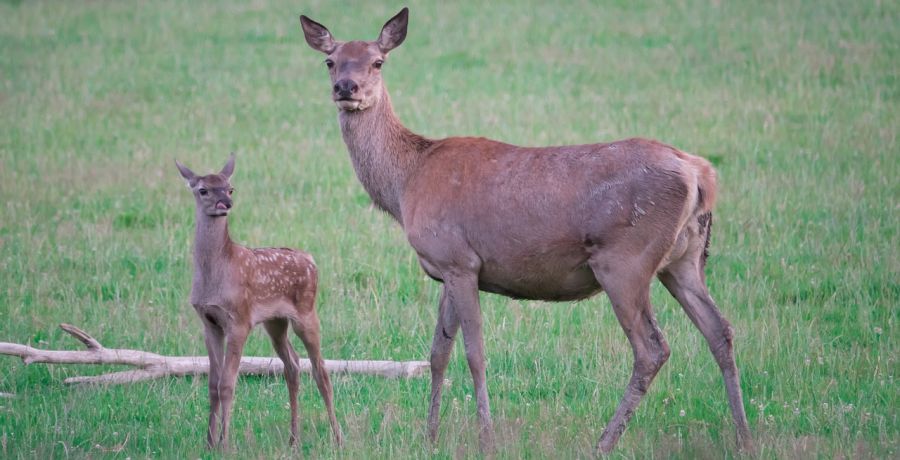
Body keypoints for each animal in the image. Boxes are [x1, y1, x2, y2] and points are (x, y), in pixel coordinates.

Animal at [177, 155, 344, 450]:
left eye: (230, 189)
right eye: (203, 190)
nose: (225, 204)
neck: (216, 274)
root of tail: (311, 259)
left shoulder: (239, 320)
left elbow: (227, 384)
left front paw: (225, 444)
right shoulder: (209, 322)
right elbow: (212, 384)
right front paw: (208, 443)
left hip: (307, 312)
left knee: (321, 371)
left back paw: (338, 438)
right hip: (275, 322)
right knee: (293, 365)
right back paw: (293, 439)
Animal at [300, 9, 752, 454]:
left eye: (378, 61)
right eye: (330, 61)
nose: (346, 87)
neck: (406, 182)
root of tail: (700, 173)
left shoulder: (459, 260)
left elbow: (474, 353)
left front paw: (485, 438)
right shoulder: (446, 266)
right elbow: (438, 352)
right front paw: (429, 437)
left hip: (625, 260)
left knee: (652, 348)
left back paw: (603, 442)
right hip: (684, 259)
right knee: (720, 330)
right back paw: (744, 438)